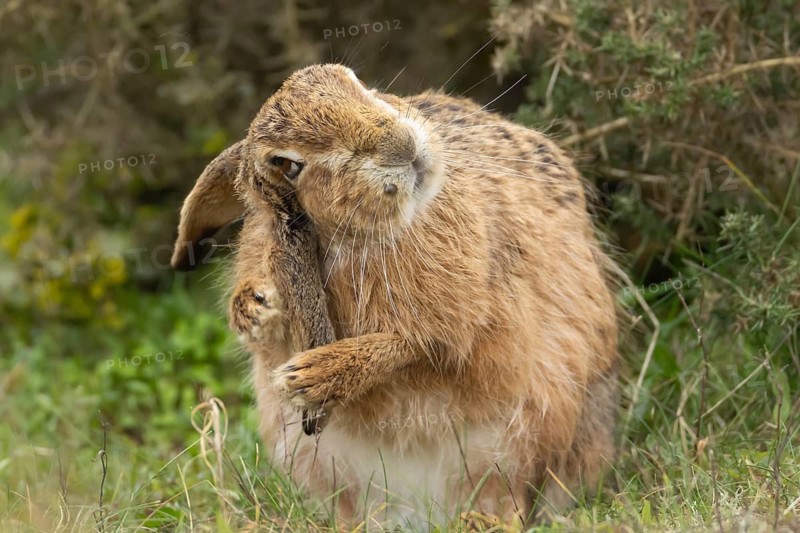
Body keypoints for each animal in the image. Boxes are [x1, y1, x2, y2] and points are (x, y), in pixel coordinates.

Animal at [172, 64, 619, 528]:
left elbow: (418, 344)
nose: (402, 145)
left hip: (528, 436)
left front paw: (312, 376)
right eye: (288, 165)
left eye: (359, 83)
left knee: (510, 491)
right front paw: (257, 307)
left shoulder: (471, 321)